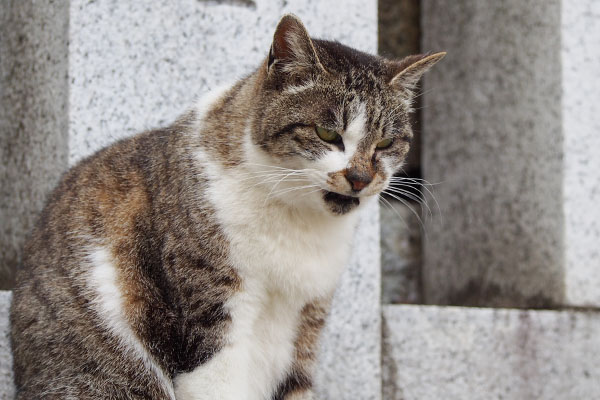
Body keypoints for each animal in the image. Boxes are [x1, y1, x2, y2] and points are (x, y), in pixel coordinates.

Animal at [8, 13, 440, 400]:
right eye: (327, 133)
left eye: (385, 143)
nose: (361, 178)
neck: (296, 222)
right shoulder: (213, 312)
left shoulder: (306, 324)